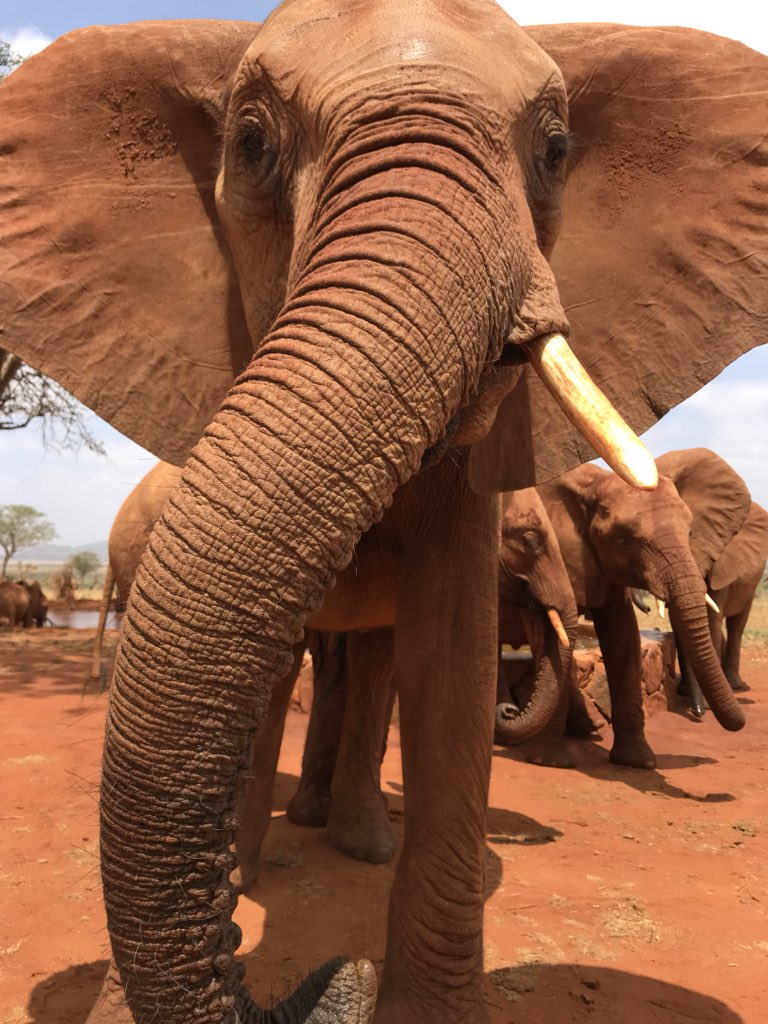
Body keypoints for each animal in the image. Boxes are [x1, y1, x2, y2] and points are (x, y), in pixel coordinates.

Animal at [533, 449, 752, 770]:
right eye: (624, 541)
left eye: (690, 532)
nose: (740, 722)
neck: (595, 482)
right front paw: (551, 761)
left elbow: (622, 631)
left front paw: (638, 761)